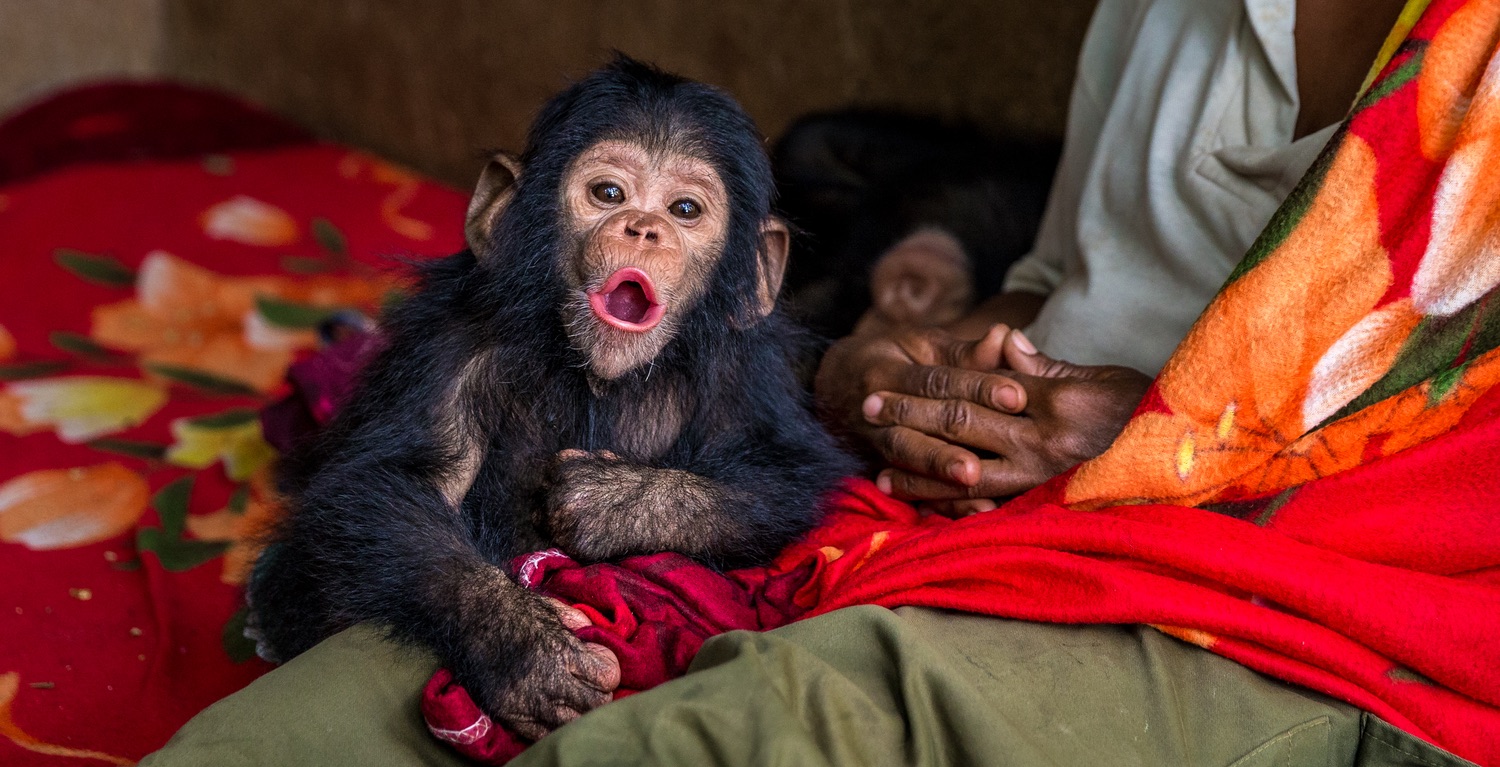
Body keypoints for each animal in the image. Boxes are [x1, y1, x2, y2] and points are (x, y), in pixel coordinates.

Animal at [246, 57, 856, 741]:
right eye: (609, 194)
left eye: (685, 208)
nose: (645, 228)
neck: (598, 373)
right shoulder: (451, 347)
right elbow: (391, 484)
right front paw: (525, 650)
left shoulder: (745, 371)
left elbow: (782, 472)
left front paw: (613, 502)